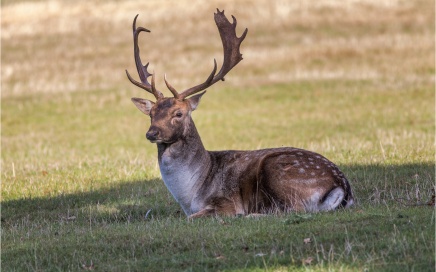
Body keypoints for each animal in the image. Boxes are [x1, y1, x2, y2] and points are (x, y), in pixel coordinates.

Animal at [127, 9, 354, 219]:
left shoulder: (225, 202)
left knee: (294, 209)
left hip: (281, 171)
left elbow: (192, 218)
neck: (190, 196)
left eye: (179, 113)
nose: (152, 133)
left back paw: (252, 214)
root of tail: (342, 186)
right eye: (151, 113)